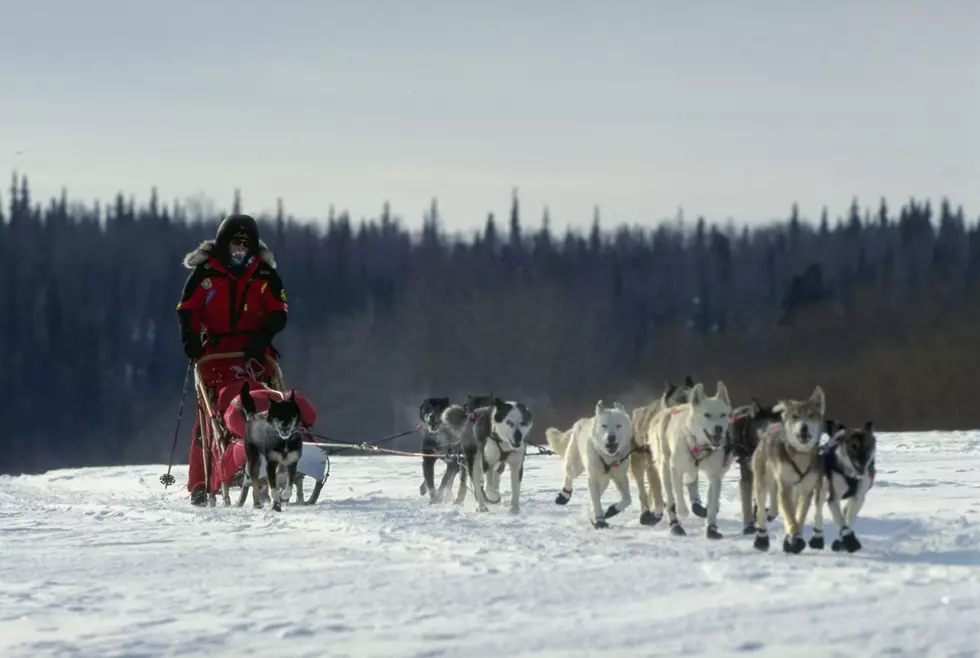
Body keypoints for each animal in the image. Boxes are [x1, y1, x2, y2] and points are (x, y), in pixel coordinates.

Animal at [544, 394, 636, 528]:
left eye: (618, 425)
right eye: (604, 425)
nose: (611, 437)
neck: (608, 458)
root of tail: (581, 422)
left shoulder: (620, 477)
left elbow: (628, 499)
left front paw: (612, 510)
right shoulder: (593, 478)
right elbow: (596, 500)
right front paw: (599, 519)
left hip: (604, 480)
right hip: (575, 466)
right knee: (569, 475)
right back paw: (565, 495)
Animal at [628, 376, 696, 524]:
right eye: (681, 398)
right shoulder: (653, 463)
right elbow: (656, 486)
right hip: (639, 462)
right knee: (643, 488)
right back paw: (647, 512)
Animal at [648, 380, 732, 540]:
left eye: (723, 415)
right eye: (707, 415)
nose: (718, 428)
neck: (698, 446)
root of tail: (671, 409)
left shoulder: (715, 476)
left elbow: (712, 504)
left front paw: (711, 527)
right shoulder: (675, 469)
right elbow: (678, 493)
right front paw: (683, 510)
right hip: (665, 468)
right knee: (670, 498)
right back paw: (675, 525)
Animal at [752, 382, 828, 552]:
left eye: (811, 415)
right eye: (795, 417)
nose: (804, 427)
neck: (800, 455)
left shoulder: (807, 490)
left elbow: (799, 516)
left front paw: (796, 535)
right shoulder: (785, 486)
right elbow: (790, 517)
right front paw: (793, 533)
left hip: (796, 490)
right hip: (762, 483)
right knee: (761, 511)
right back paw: (762, 537)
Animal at [808, 418, 876, 552]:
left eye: (867, 445)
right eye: (853, 446)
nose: (862, 463)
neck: (852, 475)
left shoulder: (859, 497)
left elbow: (848, 518)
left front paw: (843, 539)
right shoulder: (833, 499)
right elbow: (840, 520)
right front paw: (849, 539)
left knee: (845, 511)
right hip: (822, 487)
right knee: (818, 512)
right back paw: (817, 538)